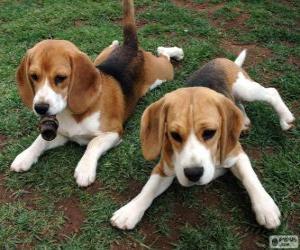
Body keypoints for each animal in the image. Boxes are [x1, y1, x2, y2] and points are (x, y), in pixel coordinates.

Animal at [10, 0, 184, 187]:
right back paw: (115, 42)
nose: (40, 108)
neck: (71, 112)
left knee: (165, 56)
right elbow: (40, 140)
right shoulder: (61, 135)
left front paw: (84, 169)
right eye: (33, 76)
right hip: (99, 59)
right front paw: (25, 156)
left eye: (60, 78)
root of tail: (130, 46)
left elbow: (93, 142)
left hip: (162, 74)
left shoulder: (113, 132)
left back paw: (175, 51)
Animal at [110, 50, 296, 230]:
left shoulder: (236, 153)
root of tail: (223, 60)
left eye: (209, 133)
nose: (193, 173)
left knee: (271, 92)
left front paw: (266, 207)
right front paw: (130, 211)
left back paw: (285, 118)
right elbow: (149, 188)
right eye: (174, 135)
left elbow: (250, 177)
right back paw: (243, 122)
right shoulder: (164, 167)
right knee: (239, 105)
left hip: (245, 89)